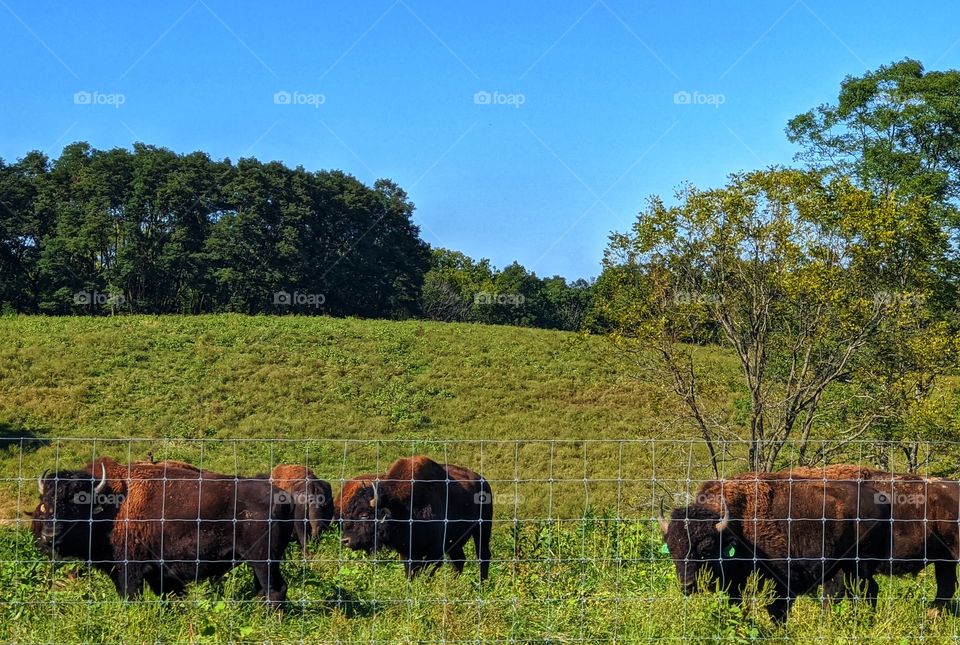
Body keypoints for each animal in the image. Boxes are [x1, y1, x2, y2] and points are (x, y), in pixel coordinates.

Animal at [31, 457, 294, 606]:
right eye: (45, 503)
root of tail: (283, 496)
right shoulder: (160, 575)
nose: (49, 536)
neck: (112, 506)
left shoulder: (130, 569)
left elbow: (130, 596)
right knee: (263, 590)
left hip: (262, 560)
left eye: (77, 504)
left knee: (275, 589)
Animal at [337, 455, 493, 580]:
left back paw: (482, 584)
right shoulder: (407, 552)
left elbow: (427, 570)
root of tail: (483, 481)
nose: (345, 540)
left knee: (483, 555)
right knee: (459, 560)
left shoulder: (435, 551)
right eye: (348, 514)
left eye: (364, 514)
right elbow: (411, 572)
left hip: (482, 529)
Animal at [659, 474, 892, 621]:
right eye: (672, 549)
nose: (687, 585)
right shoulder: (735, 586)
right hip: (842, 567)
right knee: (841, 593)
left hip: (859, 566)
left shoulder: (783, 582)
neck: (737, 525)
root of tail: (882, 500)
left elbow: (776, 611)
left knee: (868, 590)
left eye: (706, 549)